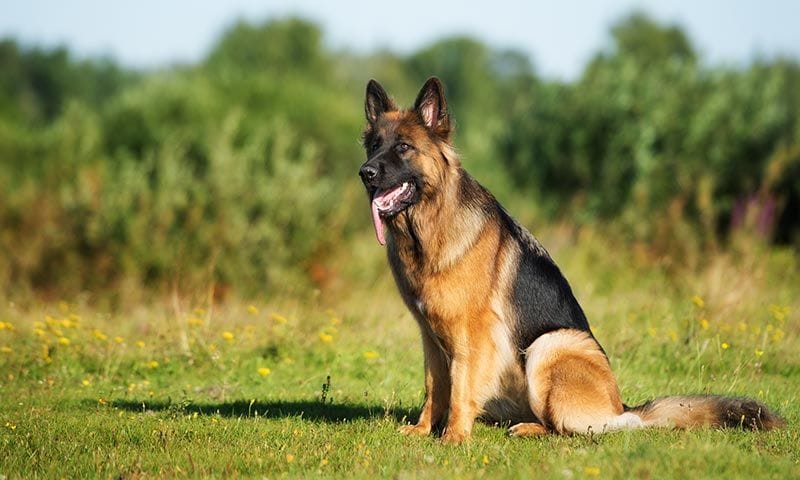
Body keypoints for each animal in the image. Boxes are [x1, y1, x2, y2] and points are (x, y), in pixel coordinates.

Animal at [360, 78, 784, 442]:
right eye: (373, 145)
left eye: (403, 148)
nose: (365, 173)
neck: (427, 227)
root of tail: (622, 409)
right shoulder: (430, 336)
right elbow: (435, 386)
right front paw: (423, 430)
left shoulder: (473, 335)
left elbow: (461, 386)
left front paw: (453, 438)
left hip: (550, 344)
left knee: (564, 426)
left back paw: (531, 428)